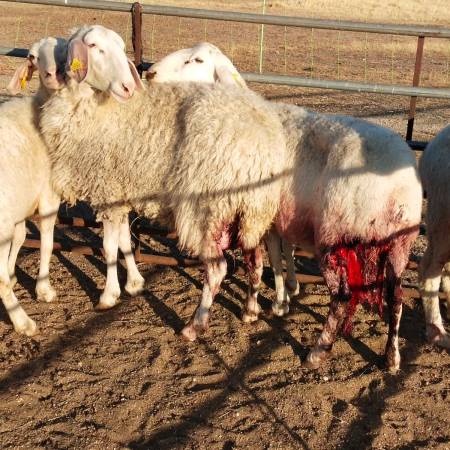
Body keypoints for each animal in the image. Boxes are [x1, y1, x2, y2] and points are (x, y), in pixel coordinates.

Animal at [39, 25, 287, 339]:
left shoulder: (108, 190)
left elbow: (109, 247)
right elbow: (125, 241)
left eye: (197, 60)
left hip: (208, 209)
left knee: (218, 269)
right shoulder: (122, 189)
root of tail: (265, 145)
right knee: (254, 263)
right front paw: (134, 283)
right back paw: (250, 312)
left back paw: (195, 324)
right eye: (94, 46)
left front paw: (109, 295)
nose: (130, 86)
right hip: (250, 213)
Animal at [148, 43, 423, 371]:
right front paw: (285, 295)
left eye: (197, 60)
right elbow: (281, 257)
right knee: (396, 298)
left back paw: (318, 350)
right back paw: (391, 358)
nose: (148, 73)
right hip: (398, 245)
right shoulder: (279, 218)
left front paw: (270, 304)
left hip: (335, 236)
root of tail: (399, 185)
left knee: (342, 297)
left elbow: (266, 260)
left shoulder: (261, 215)